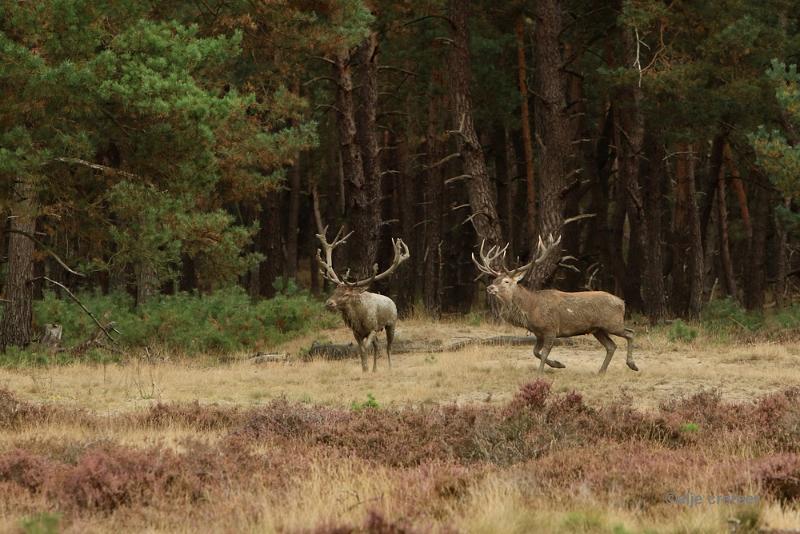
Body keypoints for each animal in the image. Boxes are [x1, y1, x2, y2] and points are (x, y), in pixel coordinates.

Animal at [316, 228, 410, 374]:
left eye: (347, 294)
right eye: (335, 291)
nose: (329, 303)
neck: (358, 319)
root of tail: (392, 301)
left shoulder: (372, 328)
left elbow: (366, 347)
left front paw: (366, 368)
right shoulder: (356, 332)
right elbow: (361, 349)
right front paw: (365, 369)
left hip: (391, 323)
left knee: (388, 346)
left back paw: (390, 367)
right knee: (377, 345)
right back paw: (375, 369)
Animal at [472, 237, 640, 378]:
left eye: (506, 281)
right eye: (495, 279)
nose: (490, 288)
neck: (531, 308)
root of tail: (622, 302)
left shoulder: (551, 329)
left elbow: (544, 352)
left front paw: (540, 373)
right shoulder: (539, 333)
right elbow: (535, 352)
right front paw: (558, 364)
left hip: (613, 323)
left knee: (630, 333)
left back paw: (632, 364)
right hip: (598, 329)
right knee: (611, 346)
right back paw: (601, 371)